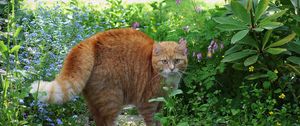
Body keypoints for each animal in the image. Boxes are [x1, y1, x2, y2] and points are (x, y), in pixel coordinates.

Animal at [31, 28, 189, 125]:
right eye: (164, 61)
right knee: (108, 122)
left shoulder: (161, 103)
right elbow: (151, 121)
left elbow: (159, 120)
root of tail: (91, 40)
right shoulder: (147, 104)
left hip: (95, 102)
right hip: (112, 99)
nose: (172, 69)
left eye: (177, 61)